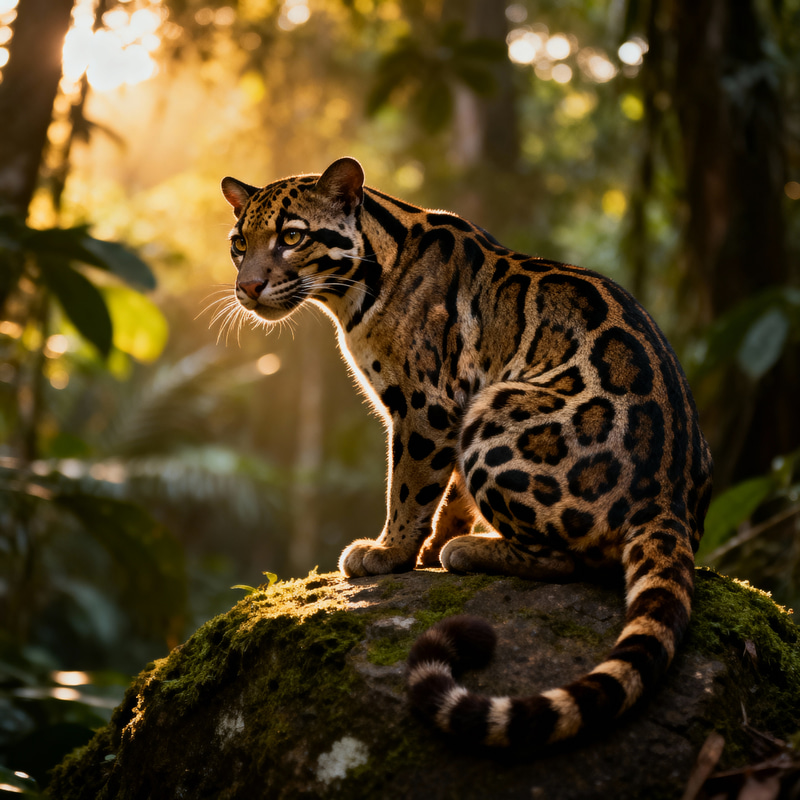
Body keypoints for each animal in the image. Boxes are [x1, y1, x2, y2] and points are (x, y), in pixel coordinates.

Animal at [221, 157, 713, 749]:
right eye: (238, 244)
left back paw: (471, 551)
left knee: (573, 561)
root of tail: (667, 498)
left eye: (292, 237)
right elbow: (450, 492)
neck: (359, 282)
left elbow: (409, 489)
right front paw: (433, 543)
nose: (247, 287)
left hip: (498, 413)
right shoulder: (452, 411)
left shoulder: (427, 406)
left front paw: (390, 552)